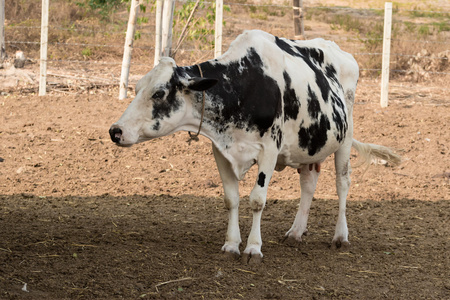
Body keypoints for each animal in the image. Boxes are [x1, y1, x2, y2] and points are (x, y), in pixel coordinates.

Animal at [109, 29, 400, 264]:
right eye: (136, 88)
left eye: (159, 92)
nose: (115, 131)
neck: (243, 85)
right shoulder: (221, 151)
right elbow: (231, 199)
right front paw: (230, 244)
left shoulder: (269, 149)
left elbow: (257, 200)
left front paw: (253, 248)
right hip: (309, 144)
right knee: (309, 183)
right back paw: (296, 231)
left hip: (345, 138)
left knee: (342, 183)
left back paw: (340, 236)